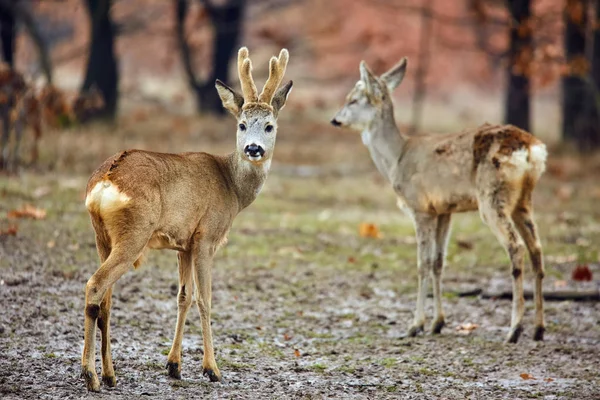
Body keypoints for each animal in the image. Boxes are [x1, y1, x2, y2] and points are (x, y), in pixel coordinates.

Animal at [81, 47, 292, 390]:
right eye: (242, 124)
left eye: (269, 125)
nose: (253, 149)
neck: (232, 187)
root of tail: (105, 180)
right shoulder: (206, 237)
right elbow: (205, 299)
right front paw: (212, 369)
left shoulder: (183, 244)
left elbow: (183, 296)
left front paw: (174, 366)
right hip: (134, 234)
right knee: (95, 285)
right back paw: (90, 376)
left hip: (102, 236)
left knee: (106, 302)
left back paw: (110, 375)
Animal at [332, 57, 548, 346]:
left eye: (353, 100)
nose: (335, 119)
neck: (396, 158)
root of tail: (532, 149)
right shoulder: (444, 210)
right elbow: (438, 262)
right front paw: (438, 323)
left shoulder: (420, 207)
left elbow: (422, 263)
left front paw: (415, 325)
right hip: (523, 200)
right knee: (536, 249)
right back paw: (538, 329)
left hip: (492, 198)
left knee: (517, 247)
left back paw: (514, 330)